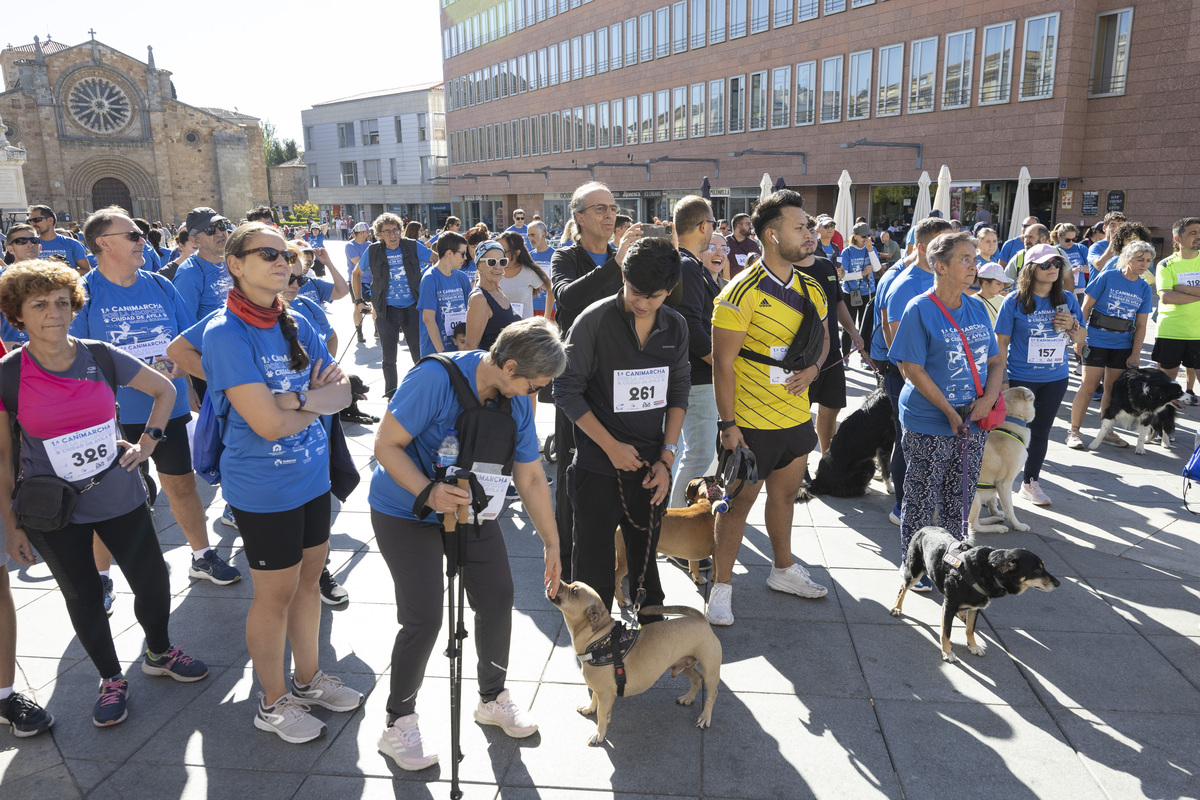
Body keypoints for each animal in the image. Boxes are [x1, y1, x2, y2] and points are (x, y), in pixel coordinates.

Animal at [547, 582, 720, 743]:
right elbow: (594, 699)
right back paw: (688, 698)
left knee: (712, 693)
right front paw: (589, 708)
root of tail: (701, 619)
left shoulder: (605, 694)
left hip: (710, 670)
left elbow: (601, 715)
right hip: (684, 664)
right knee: (697, 678)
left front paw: (599, 734)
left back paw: (705, 717)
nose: (556, 582)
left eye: (574, 591)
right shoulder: (598, 689)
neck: (598, 637)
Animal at [892, 525, 1060, 662]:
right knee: (902, 587)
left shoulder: (976, 607)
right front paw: (947, 652)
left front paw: (972, 646)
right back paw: (897, 608)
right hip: (914, 572)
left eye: (1043, 567)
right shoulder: (950, 605)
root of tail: (926, 527)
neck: (987, 572)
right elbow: (946, 632)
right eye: (1037, 570)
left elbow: (970, 629)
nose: (1058, 583)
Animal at [964, 386, 1041, 534]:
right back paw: (997, 527)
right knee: (973, 525)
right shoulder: (1004, 483)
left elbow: (993, 500)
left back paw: (995, 519)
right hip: (975, 497)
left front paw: (995, 512)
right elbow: (1009, 508)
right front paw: (1018, 525)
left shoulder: (996, 485)